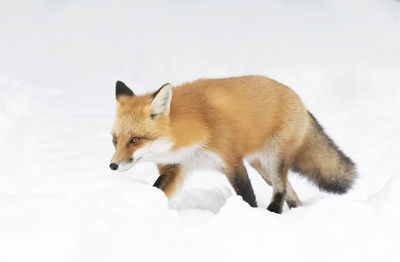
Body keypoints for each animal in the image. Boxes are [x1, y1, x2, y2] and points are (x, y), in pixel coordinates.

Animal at [109, 75, 356, 213]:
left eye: (135, 139)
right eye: (115, 139)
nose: (112, 166)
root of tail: (298, 98)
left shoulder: (231, 162)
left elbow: (247, 197)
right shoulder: (176, 167)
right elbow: (158, 191)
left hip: (275, 159)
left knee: (280, 189)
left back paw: (272, 213)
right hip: (263, 167)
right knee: (290, 192)